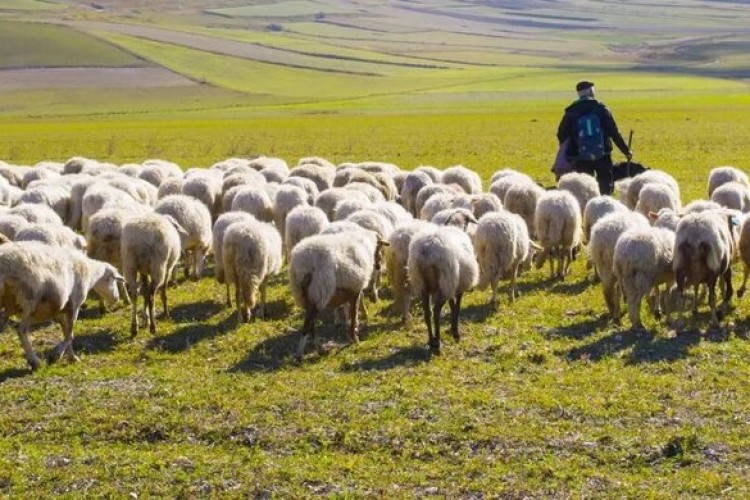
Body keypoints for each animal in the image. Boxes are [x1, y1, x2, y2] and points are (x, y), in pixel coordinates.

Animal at [0, 242, 125, 372]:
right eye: (113, 280)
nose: (116, 298)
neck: (91, 275)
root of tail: (4, 261)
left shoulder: (58, 311)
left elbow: (65, 331)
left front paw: (72, 357)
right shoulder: (74, 305)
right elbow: (70, 334)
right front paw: (56, 355)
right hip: (30, 299)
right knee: (22, 330)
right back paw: (35, 362)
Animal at [290, 227, 390, 360]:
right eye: (379, 248)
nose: (378, 266)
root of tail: (302, 264)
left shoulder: (349, 290)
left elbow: (349, 309)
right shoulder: (355, 288)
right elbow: (353, 313)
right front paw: (354, 338)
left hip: (303, 294)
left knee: (311, 323)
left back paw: (319, 348)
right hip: (320, 290)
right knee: (308, 323)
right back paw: (302, 352)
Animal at [408, 225, 478, 354]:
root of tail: (427, 252)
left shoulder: (452, 287)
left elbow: (452, 305)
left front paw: (453, 329)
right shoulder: (458, 288)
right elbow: (457, 308)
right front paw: (456, 333)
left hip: (422, 284)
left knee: (427, 312)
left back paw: (431, 340)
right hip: (444, 282)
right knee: (436, 312)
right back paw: (437, 341)